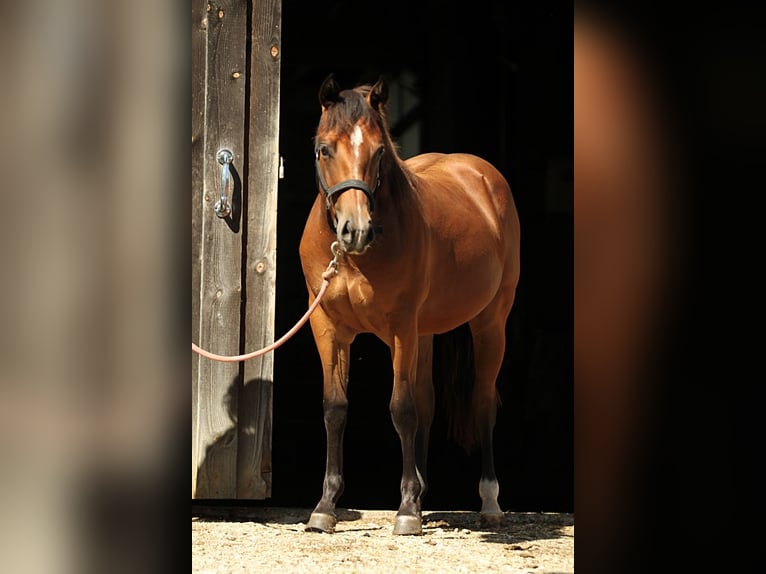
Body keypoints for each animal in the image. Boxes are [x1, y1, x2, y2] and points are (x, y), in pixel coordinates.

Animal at [300, 75, 520, 536]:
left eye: (379, 151)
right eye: (324, 148)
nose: (355, 231)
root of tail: (478, 172)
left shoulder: (400, 326)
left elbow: (401, 409)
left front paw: (404, 511)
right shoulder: (327, 327)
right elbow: (336, 408)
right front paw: (326, 506)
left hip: (490, 323)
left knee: (482, 401)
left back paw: (488, 501)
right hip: (426, 333)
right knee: (427, 401)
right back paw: (421, 492)